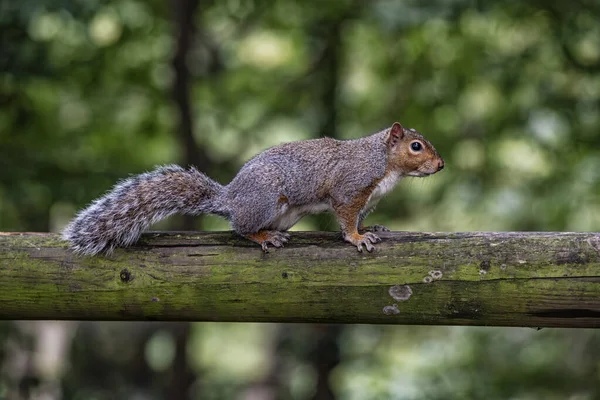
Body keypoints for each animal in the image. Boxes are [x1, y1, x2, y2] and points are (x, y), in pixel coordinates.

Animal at [63, 122, 442, 255]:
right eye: (416, 147)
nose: (440, 165)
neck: (385, 165)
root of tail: (230, 198)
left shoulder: (366, 200)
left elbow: (360, 217)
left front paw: (372, 227)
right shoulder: (349, 190)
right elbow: (346, 220)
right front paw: (357, 238)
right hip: (266, 201)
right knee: (240, 228)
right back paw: (264, 237)